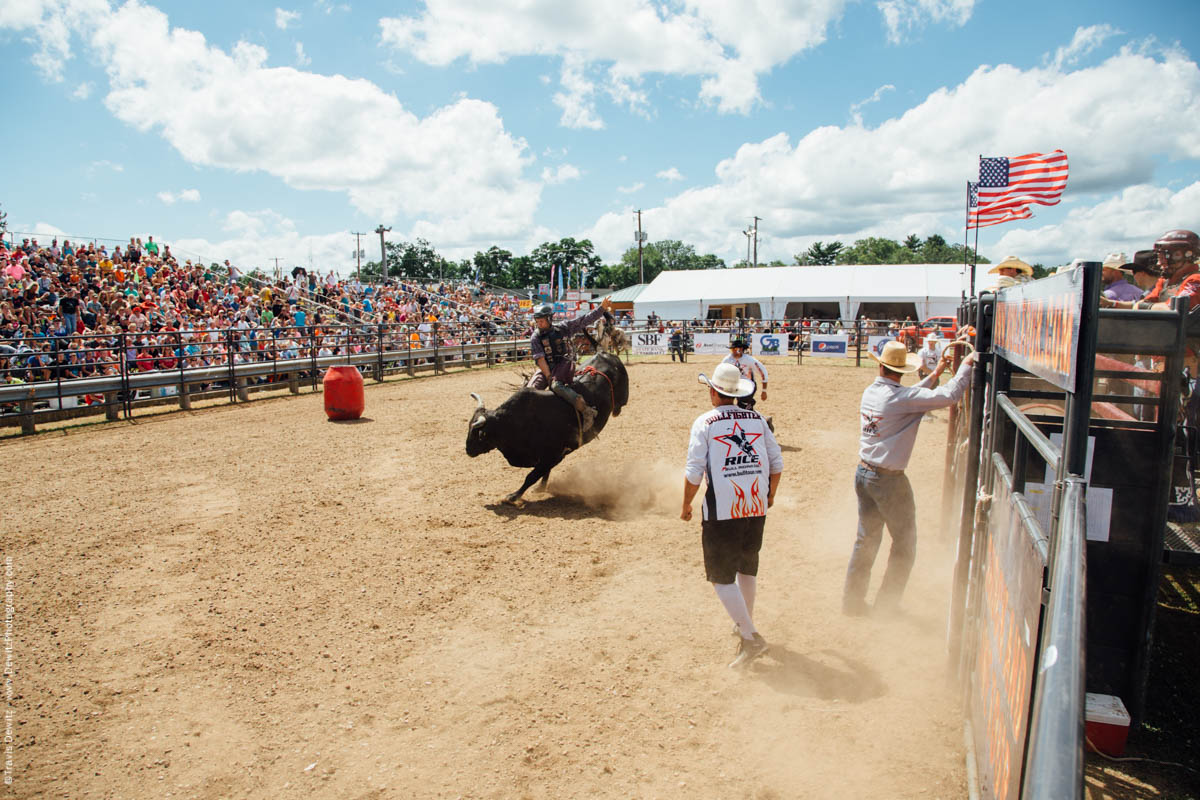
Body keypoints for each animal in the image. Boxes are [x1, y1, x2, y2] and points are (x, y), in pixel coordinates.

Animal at [463, 352, 633, 503]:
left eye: (477, 433)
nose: (468, 450)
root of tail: (605, 354)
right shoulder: (550, 457)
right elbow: (543, 472)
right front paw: (540, 487)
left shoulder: (553, 455)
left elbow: (532, 476)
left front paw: (513, 497)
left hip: (622, 394)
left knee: (621, 403)